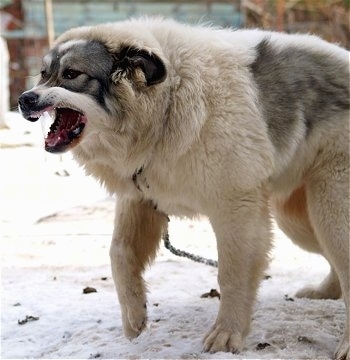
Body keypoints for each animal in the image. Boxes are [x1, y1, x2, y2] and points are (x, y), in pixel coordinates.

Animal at [18, 17, 350, 360]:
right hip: (297, 218)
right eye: (43, 74)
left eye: (72, 74)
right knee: (335, 262)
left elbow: (232, 274)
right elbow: (119, 254)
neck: (168, 101)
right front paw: (134, 316)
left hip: (331, 206)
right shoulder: (141, 198)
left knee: (342, 258)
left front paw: (226, 333)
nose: (24, 99)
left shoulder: (237, 208)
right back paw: (323, 292)